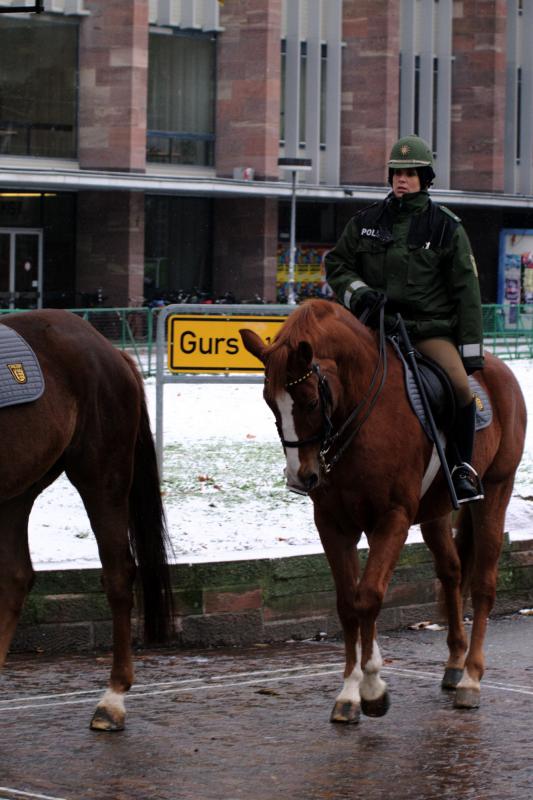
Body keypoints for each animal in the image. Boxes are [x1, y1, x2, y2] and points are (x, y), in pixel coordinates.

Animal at [0, 310, 172, 732]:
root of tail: (109, 350)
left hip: (101, 476)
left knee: (118, 575)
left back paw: (112, 699)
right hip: (18, 488)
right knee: (15, 577)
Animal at [242, 296, 528, 720]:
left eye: (310, 400)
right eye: (268, 402)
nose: (300, 477)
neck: (359, 412)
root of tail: (499, 369)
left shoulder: (392, 518)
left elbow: (370, 596)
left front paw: (373, 686)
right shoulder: (333, 523)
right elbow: (348, 603)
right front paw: (349, 689)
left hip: (495, 491)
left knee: (483, 582)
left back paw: (472, 678)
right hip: (436, 512)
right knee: (451, 571)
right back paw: (455, 663)